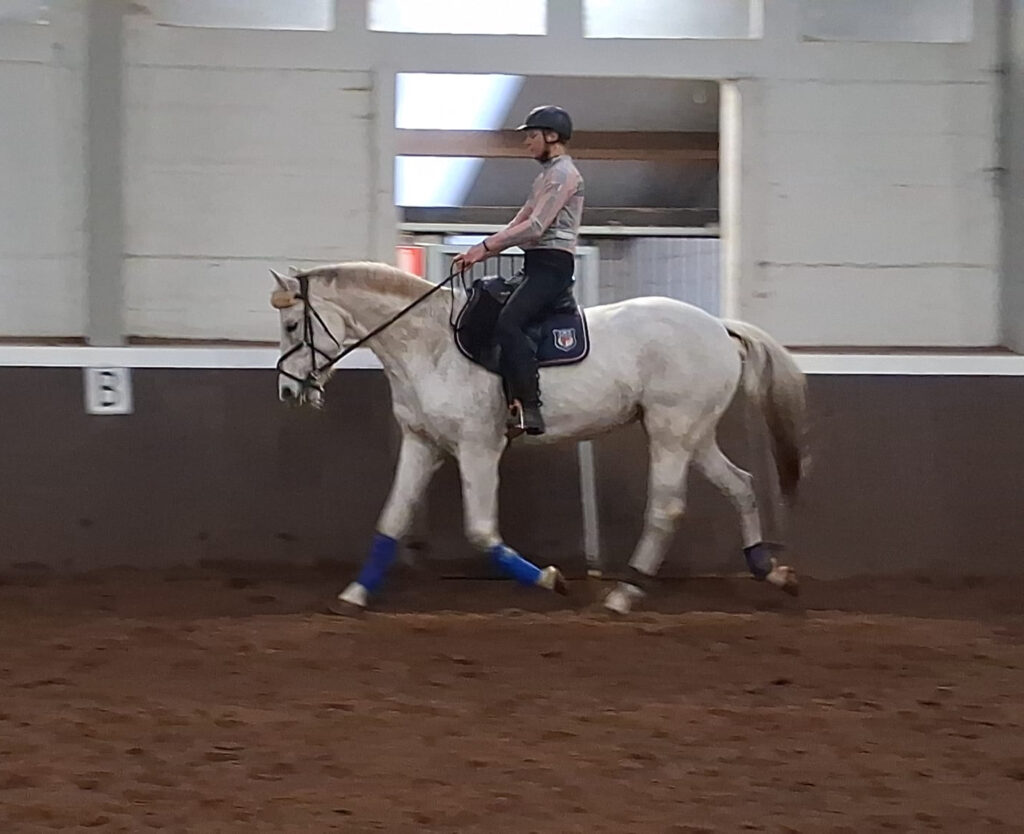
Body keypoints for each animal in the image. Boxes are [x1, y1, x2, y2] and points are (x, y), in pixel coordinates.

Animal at [270, 261, 808, 615]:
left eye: (293, 324)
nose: (288, 391)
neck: (430, 345)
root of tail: (718, 326)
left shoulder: (478, 448)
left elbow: (482, 532)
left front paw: (551, 581)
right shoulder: (422, 443)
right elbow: (392, 520)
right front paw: (355, 594)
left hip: (671, 432)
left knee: (667, 508)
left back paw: (623, 595)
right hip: (695, 433)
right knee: (741, 484)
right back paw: (771, 571)